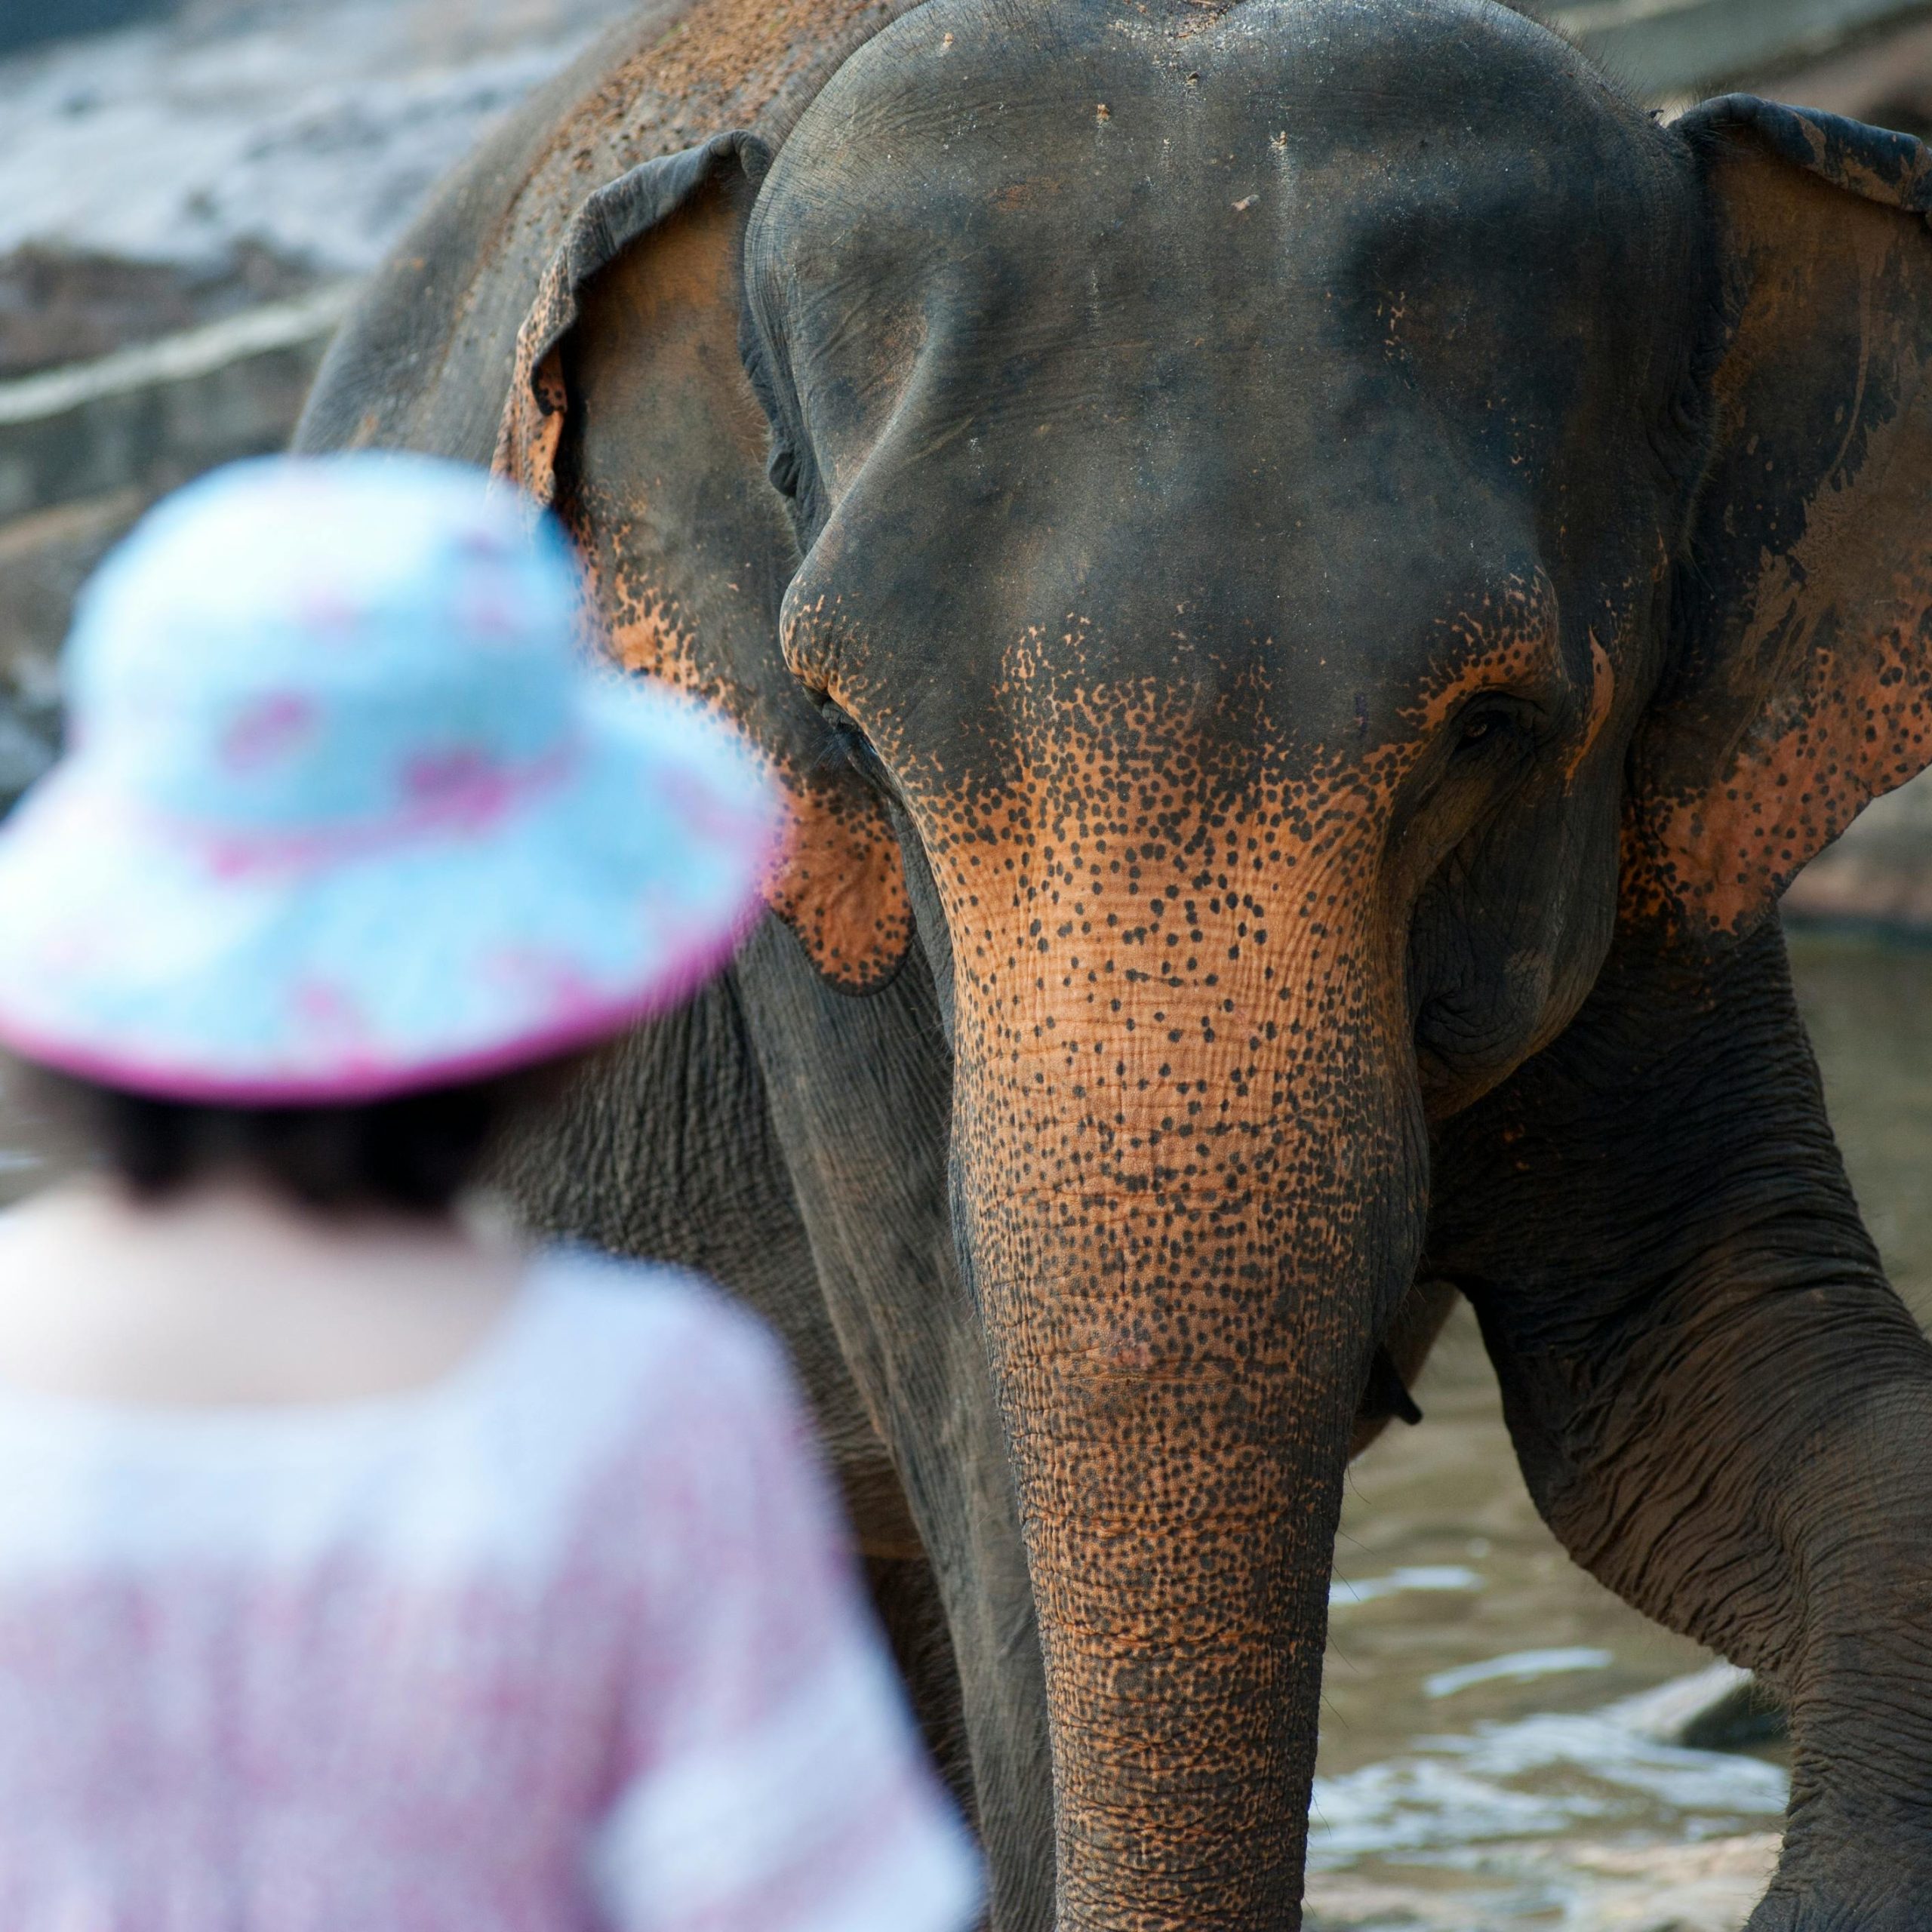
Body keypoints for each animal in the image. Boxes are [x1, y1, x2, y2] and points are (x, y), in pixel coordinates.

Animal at [290, 8, 1932, 1924]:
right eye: (845, 729)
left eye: (1489, 727)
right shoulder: (813, 959)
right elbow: (998, 1561)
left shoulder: (1672, 854)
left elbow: (1695, 1377)